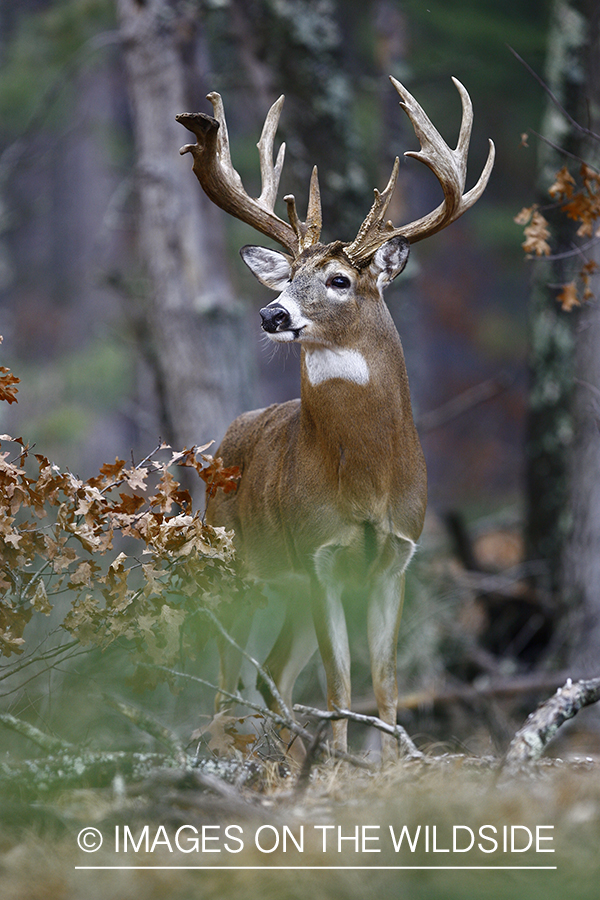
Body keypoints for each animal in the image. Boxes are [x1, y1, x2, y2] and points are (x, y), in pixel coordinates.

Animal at [176, 75, 494, 760]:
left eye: (341, 279)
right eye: (289, 275)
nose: (271, 313)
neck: (368, 478)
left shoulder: (397, 556)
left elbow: (387, 684)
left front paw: (389, 763)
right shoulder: (318, 553)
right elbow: (341, 687)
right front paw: (342, 769)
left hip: (283, 592)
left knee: (270, 675)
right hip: (237, 567)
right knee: (229, 683)